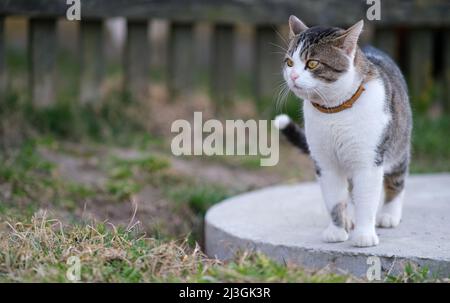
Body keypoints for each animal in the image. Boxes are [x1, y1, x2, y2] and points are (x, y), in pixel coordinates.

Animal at [272, 16, 414, 247]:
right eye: (289, 62)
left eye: (312, 63)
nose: (292, 76)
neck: (334, 111)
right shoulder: (325, 163)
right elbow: (334, 200)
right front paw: (337, 229)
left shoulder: (368, 161)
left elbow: (367, 198)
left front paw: (364, 235)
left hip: (398, 145)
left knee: (396, 179)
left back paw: (389, 214)